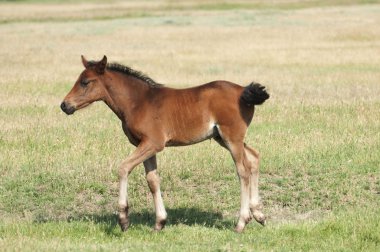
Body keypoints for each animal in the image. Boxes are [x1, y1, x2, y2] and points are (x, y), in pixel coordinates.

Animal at [60, 56, 270, 233]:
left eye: (85, 82)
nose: (64, 105)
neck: (139, 102)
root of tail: (243, 91)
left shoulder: (153, 143)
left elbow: (123, 168)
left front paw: (123, 219)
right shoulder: (146, 146)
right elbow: (153, 180)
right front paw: (160, 222)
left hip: (231, 138)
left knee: (242, 171)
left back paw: (241, 222)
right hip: (225, 138)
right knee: (254, 158)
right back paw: (258, 214)